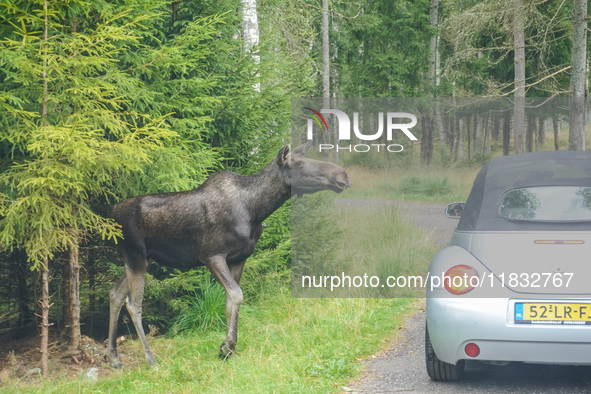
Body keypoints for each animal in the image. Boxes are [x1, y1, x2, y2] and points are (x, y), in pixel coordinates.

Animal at [105, 141, 352, 366]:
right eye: (299, 163)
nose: (343, 176)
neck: (257, 210)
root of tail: (111, 213)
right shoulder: (211, 255)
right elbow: (237, 295)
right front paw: (227, 346)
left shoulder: (238, 259)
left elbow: (228, 302)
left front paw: (227, 347)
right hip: (136, 256)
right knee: (133, 304)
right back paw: (150, 359)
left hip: (139, 259)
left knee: (115, 294)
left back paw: (113, 357)